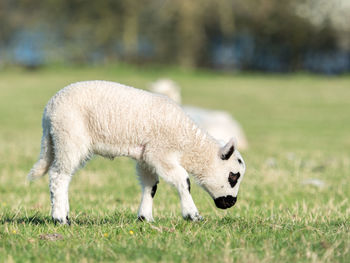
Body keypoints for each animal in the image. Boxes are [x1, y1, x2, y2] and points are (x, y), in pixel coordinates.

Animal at [28, 81, 246, 225]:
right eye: (233, 176)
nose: (231, 203)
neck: (186, 142)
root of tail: (49, 111)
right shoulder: (160, 153)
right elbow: (184, 180)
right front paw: (192, 215)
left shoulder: (145, 157)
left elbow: (151, 186)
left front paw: (145, 218)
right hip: (69, 137)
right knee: (59, 176)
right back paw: (60, 218)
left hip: (60, 140)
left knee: (63, 176)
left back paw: (64, 214)